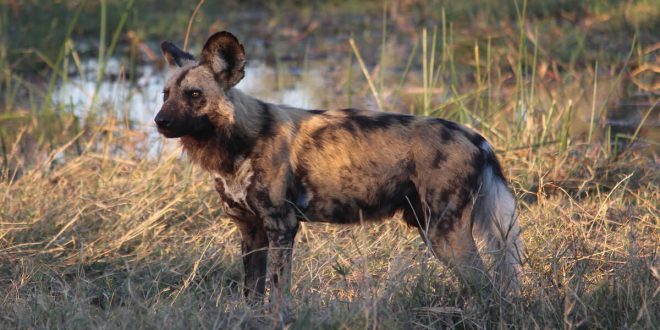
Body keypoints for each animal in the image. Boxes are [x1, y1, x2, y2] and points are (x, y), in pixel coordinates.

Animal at [156, 32, 524, 306]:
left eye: (194, 94)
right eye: (165, 94)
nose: (159, 121)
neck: (238, 142)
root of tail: (476, 137)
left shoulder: (281, 227)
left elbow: (278, 293)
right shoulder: (250, 230)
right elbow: (252, 294)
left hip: (444, 233)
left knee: (486, 285)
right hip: (431, 229)